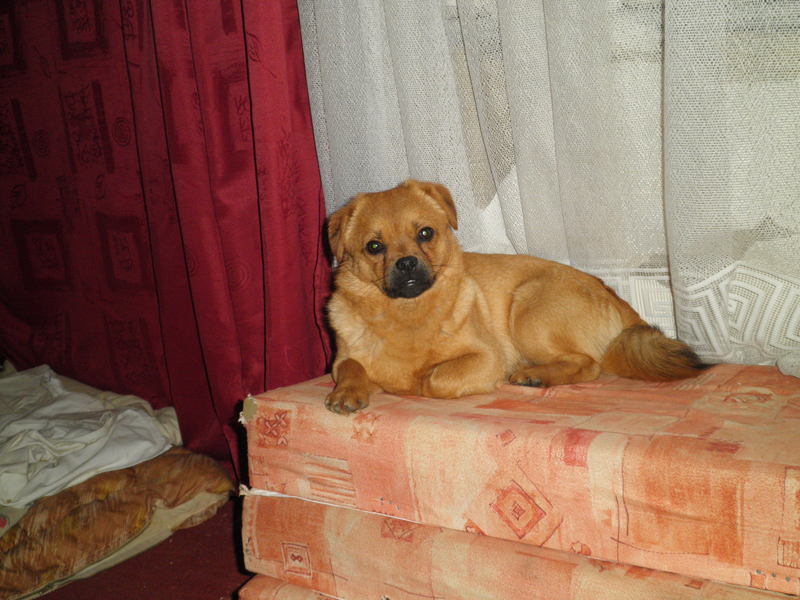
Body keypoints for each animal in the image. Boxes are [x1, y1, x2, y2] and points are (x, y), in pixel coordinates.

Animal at [324, 179, 707, 414]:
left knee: (589, 364)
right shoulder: (340, 360)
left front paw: (412, 381)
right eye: (374, 247)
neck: (406, 315)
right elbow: (352, 367)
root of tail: (619, 303)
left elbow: (434, 379)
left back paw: (533, 374)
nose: (406, 263)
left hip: (528, 310)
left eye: (425, 233)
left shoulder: (484, 357)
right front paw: (348, 391)